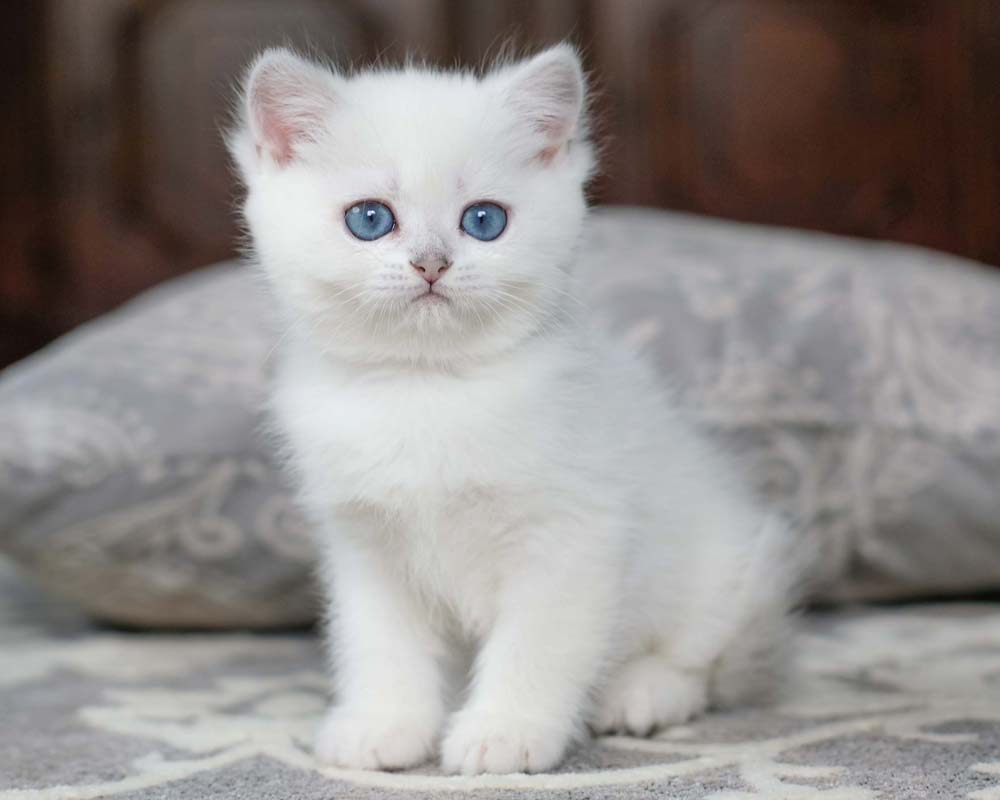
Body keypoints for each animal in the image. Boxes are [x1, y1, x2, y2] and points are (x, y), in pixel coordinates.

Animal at [229, 43, 804, 776]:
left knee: (704, 661)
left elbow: (536, 647)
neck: (426, 390)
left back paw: (641, 693)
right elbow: (381, 644)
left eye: (484, 221)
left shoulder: (572, 534)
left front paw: (503, 734)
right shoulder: (366, 546)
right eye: (370, 219)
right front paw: (385, 725)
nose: (431, 264)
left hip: (727, 565)